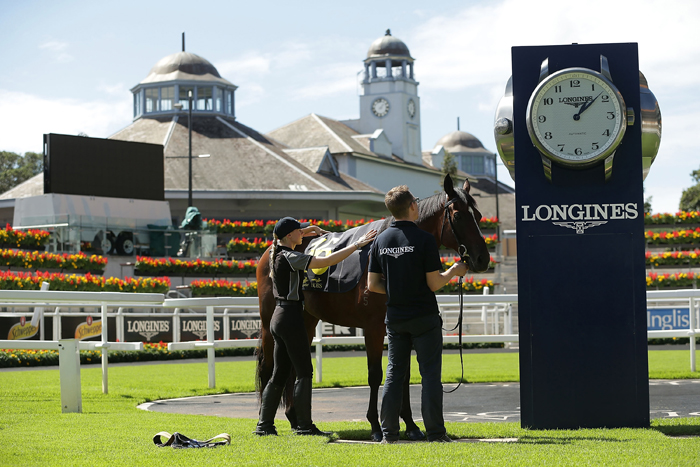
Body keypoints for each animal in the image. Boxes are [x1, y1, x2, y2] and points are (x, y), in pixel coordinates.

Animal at [254, 176, 490, 442]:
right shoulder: (373, 329)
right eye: (458, 216)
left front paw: (411, 426)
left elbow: (403, 375)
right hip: (269, 325)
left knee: (294, 367)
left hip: (305, 321)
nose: (482, 259)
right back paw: (266, 425)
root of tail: (272, 250)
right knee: (269, 368)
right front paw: (376, 426)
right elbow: (375, 375)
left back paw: (298, 422)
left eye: (478, 215)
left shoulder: (402, 329)